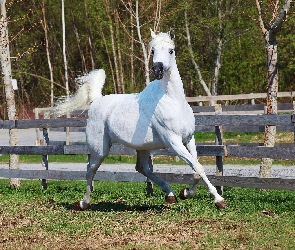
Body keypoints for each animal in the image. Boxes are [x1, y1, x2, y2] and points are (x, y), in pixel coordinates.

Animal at [53, 29, 229, 210]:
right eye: (152, 51)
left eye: (171, 50)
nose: (157, 69)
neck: (172, 101)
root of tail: (96, 101)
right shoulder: (174, 142)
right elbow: (197, 167)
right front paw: (219, 200)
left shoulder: (189, 139)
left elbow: (196, 169)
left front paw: (185, 193)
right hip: (99, 149)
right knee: (90, 170)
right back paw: (84, 203)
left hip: (142, 147)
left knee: (142, 168)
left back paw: (170, 195)